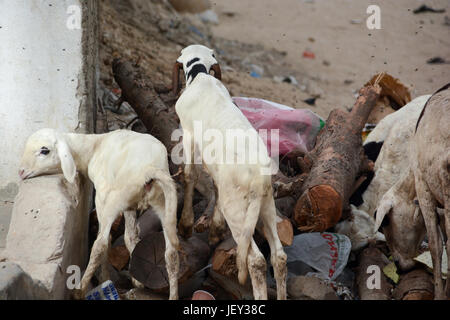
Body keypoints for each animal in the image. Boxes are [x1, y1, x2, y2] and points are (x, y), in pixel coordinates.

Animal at [18, 128, 179, 300]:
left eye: (44, 150)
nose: (20, 172)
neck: (92, 148)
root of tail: (149, 168)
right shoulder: (129, 206)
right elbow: (131, 237)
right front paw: (137, 281)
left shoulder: (104, 196)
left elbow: (107, 241)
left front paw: (105, 278)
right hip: (163, 203)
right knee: (171, 254)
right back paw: (173, 295)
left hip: (113, 200)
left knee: (100, 244)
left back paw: (81, 289)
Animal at [171, 44, 286, 300]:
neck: (200, 75)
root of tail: (258, 179)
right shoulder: (219, 174)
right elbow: (214, 186)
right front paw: (215, 230)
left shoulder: (189, 135)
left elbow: (190, 175)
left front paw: (185, 225)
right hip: (265, 207)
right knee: (279, 256)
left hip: (239, 213)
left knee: (256, 260)